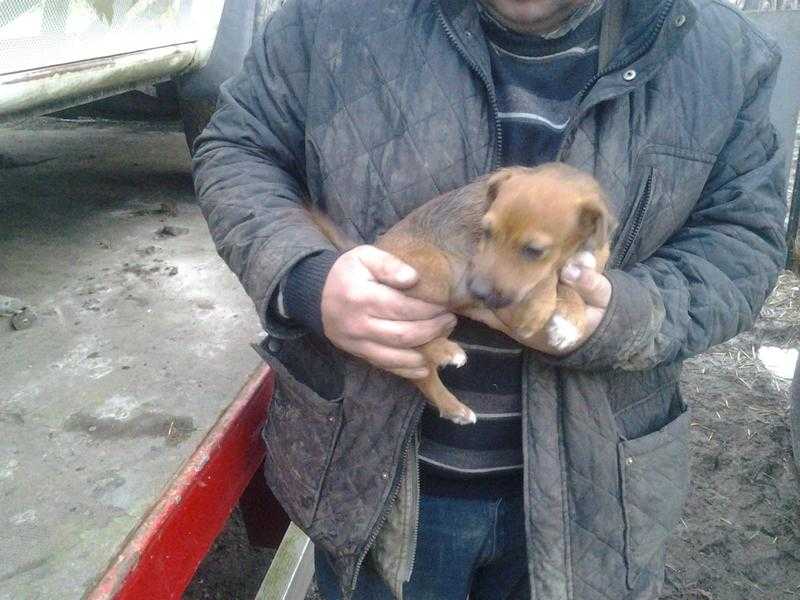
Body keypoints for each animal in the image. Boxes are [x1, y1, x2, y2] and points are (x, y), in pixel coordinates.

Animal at [312, 164, 612, 424]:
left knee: (420, 369)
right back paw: (447, 352)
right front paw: (539, 310)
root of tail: (375, 247)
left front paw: (570, 322)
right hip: (436, 275)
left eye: (534, 250)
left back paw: (452, 406)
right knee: (410, 338)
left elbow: (569, 281)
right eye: (486, 232)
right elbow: (548, 279)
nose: (476, 290)